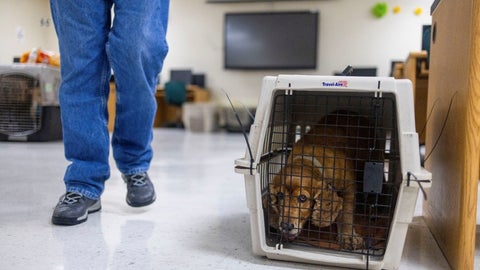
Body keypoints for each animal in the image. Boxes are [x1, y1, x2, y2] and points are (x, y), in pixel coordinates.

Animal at [266, 110, 376, 250]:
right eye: (280, 195)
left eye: (303, 198)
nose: (286, 226)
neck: (308, 159)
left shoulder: (349, 186)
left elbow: (346, 212)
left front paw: (348, 236)